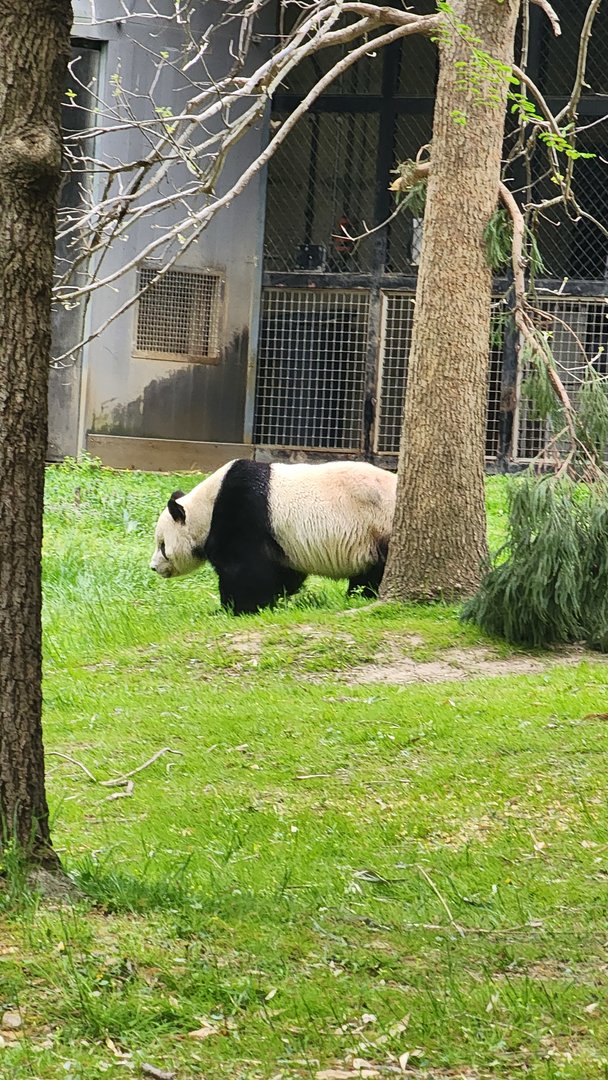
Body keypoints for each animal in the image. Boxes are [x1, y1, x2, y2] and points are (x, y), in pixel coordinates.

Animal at [150, 459, 396, 615]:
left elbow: (244, 569)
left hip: (376, 525)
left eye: (162, 545)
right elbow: (284, 572)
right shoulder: (280, 542)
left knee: (376, 569)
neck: (206, 506)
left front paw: (236, 608)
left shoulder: (243, 512)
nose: (153, 567)